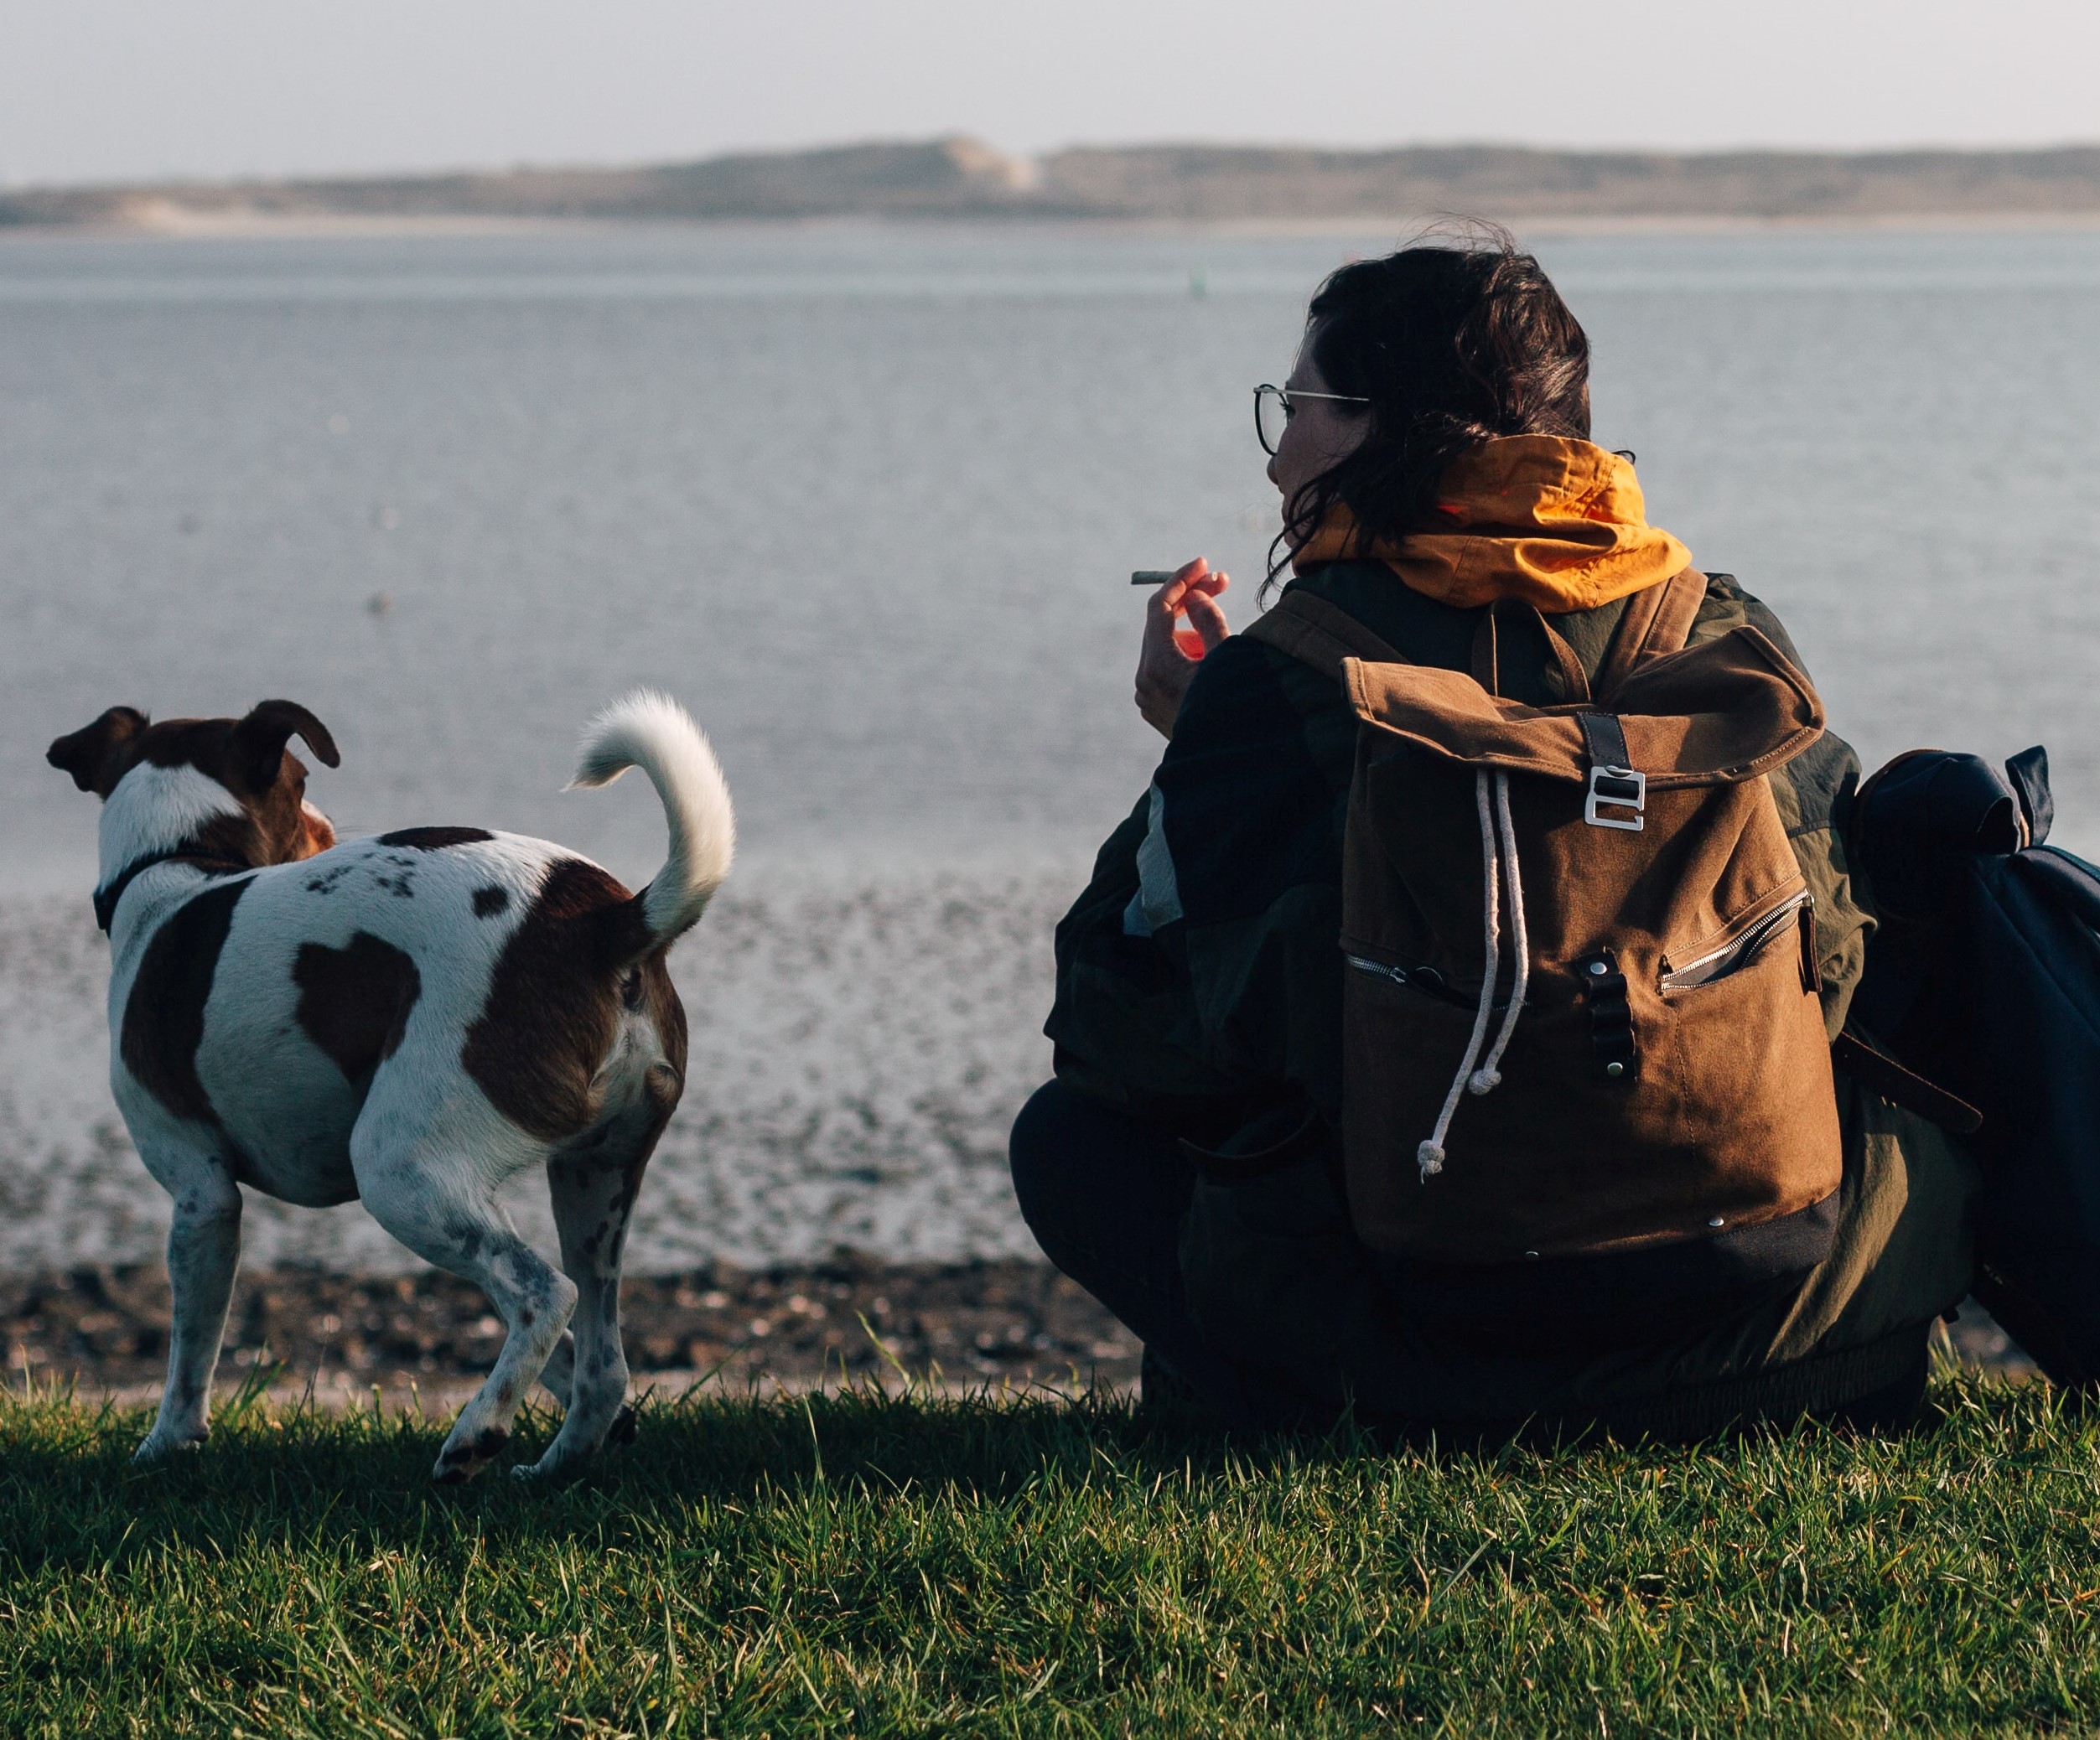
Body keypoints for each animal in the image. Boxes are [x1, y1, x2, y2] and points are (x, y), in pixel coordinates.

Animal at [44, 692, 734, 1477]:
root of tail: (604, 921)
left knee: (541, 1295)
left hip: (402, 1171)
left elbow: (191, 1354)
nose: (327, 829)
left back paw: (475, 1434)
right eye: (304, 787)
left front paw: (164, 1445)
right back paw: (553, 1466)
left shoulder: (202, 1197)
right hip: (592, 1183)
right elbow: (566, 1360)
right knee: (599, 1356)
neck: (179, 868)